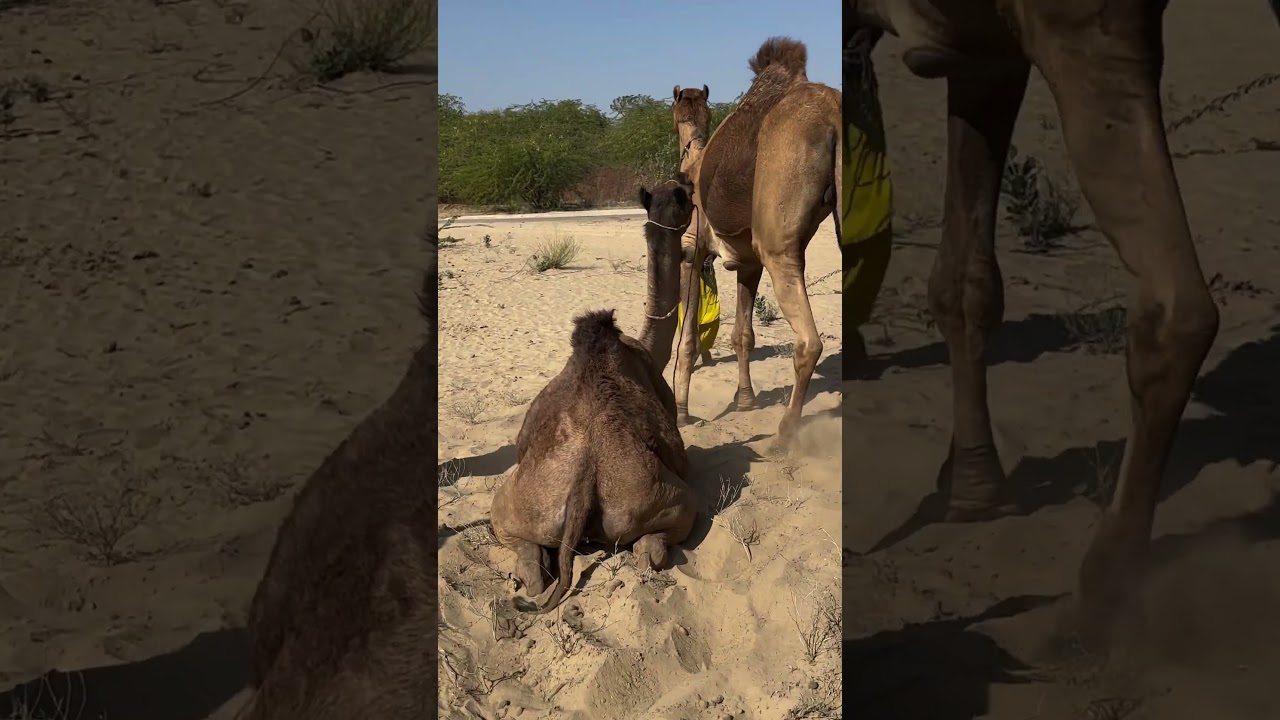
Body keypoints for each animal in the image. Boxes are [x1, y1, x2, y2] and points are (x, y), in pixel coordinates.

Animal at [491, 179, 699, 614]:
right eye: (684, 196)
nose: (690, 182)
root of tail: (585, 479)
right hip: (667, 502)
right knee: (652, 550)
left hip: (514, 508)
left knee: (532, 564)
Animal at [670, 37, 842, 443]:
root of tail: (832, 118)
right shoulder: (746, 263)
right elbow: (743, 335)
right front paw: (745, 400)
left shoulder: (692, 248)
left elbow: (687, 340)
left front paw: (681, 412)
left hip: (777, 243)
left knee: (809, 342)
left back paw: (785, 432)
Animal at [845, 0, 1280, 633]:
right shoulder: (985, 53)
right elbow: (966, 283)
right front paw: (974, 486)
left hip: (1089, 34)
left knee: (1178, 307)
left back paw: (1099, 593)